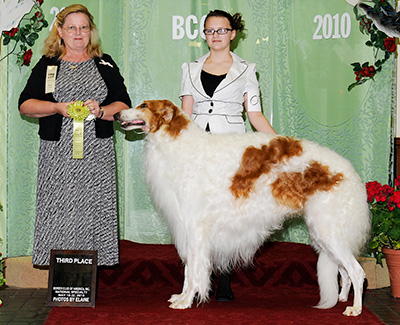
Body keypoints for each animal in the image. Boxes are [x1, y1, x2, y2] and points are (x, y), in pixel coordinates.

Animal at [114, 100, 370, 316]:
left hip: (328, 230)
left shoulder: (196, 229)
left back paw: (355, 309)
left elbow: (194, 271)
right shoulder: (186, 230)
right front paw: (182, 296)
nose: (116, 114)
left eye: (144, 105)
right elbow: (188, 271)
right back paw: (342, 298)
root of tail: (349, 171)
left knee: (357, 272)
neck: (177, 143)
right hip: (324, 234)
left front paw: (186, 301)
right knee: (345, 272)